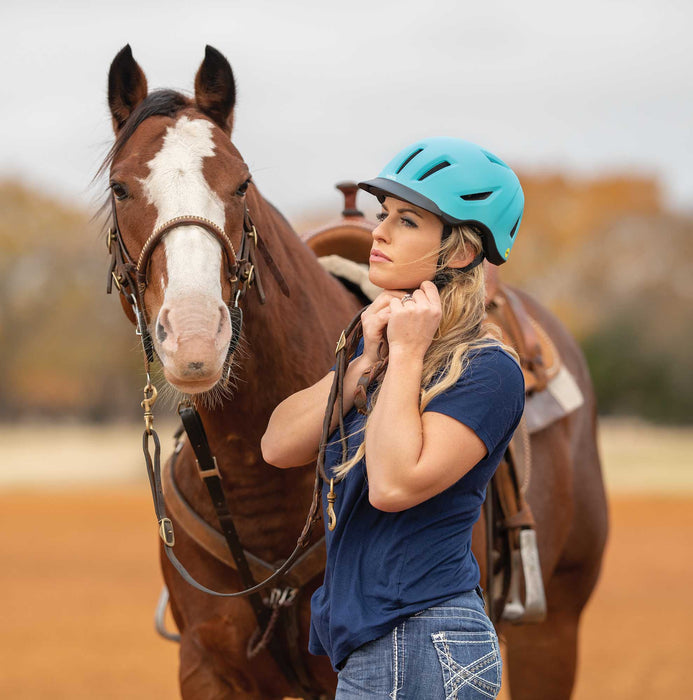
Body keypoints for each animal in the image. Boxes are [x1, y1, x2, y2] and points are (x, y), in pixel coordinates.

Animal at [102, 46, 604, 696]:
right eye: (120, 187)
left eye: (241, 183)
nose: (193, 334)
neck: (256, 484)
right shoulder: (207, 665)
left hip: (555, 630)